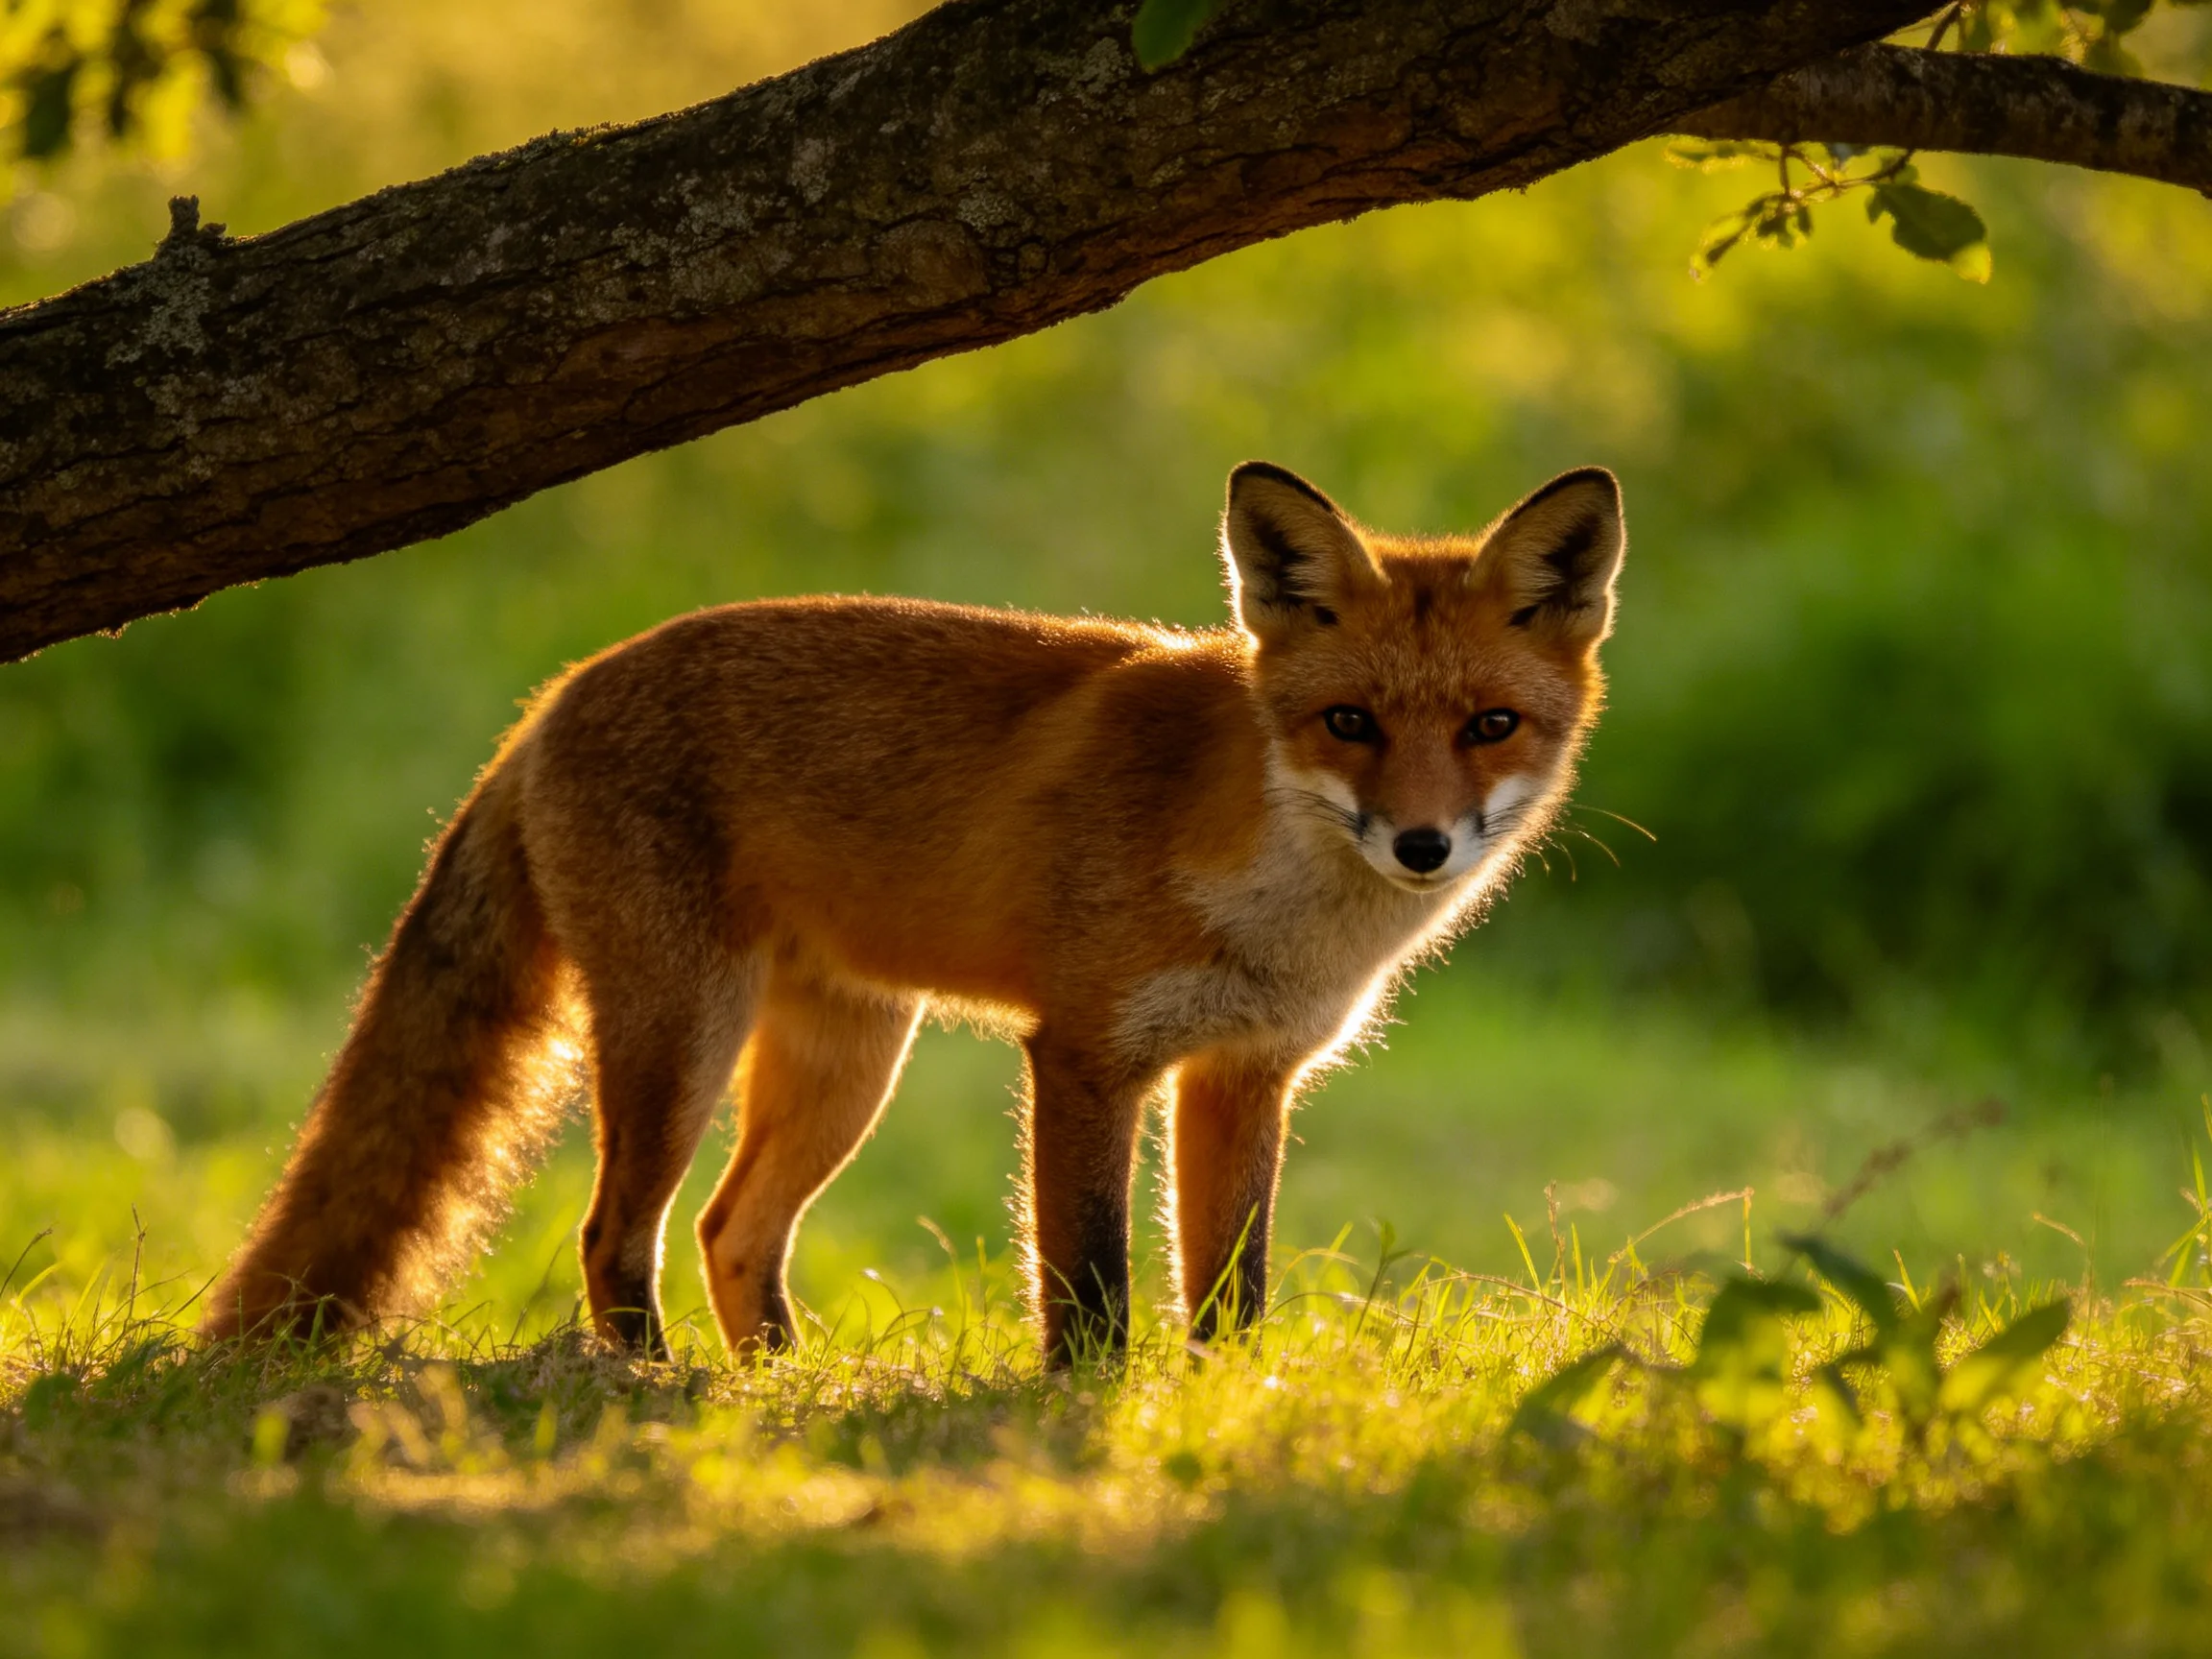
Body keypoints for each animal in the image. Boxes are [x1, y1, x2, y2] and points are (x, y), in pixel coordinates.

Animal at [201, 461, 1625, 1366]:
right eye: (1350, 723)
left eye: (1490, 727)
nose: (1423, 844)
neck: (1271, 895)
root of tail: (555, 692)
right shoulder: (1086, 1054)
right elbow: (1091, 1285)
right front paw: (1089, 1418)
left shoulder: (1244, 1074)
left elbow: (1233, 1289)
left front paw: (1228, 1407)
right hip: (682, 1040)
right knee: (617, 1233)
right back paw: (655, 1390)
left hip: (845, 1065)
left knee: (730, 1233)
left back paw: (781, 1392)